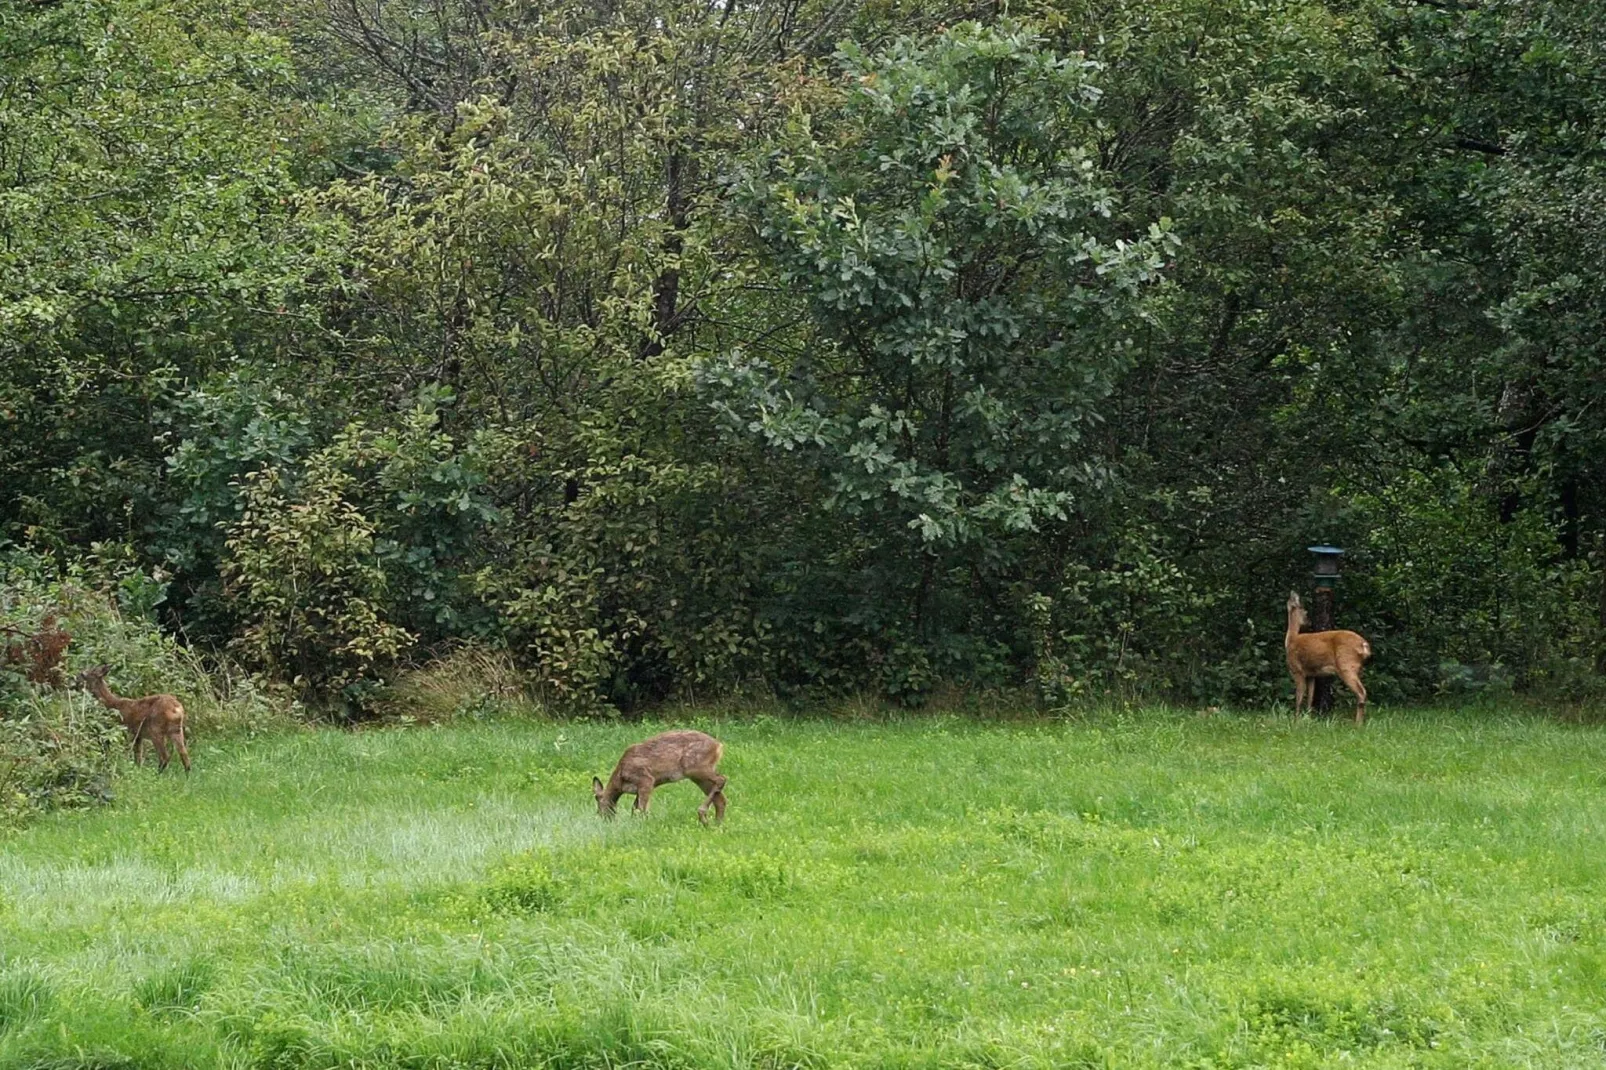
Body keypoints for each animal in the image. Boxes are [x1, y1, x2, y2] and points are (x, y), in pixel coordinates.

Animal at [594, 729, 725, 819]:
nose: (602, 817)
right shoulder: (641, 788)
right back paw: (715, 825)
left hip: (695, 767)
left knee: (722, 779)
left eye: (598, 799)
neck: (620, 780)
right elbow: (634, 808)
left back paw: (702, 814)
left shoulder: (646, 779)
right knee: (720, 799)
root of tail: (718, 745)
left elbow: (641, 809)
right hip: (697, 776)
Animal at [1284, 588, 1374, 719]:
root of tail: (1364, 644)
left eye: (1305, 611)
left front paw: (1296, 720)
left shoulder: (1297, 670)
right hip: (1358, 668)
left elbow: (1299, 698)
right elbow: (1310, 698)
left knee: (1361, 692)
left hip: (1346, 665)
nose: (1309, 622)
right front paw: (1308, 717)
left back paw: (1357, 722)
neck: (1291, 640)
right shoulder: (1311, 674)